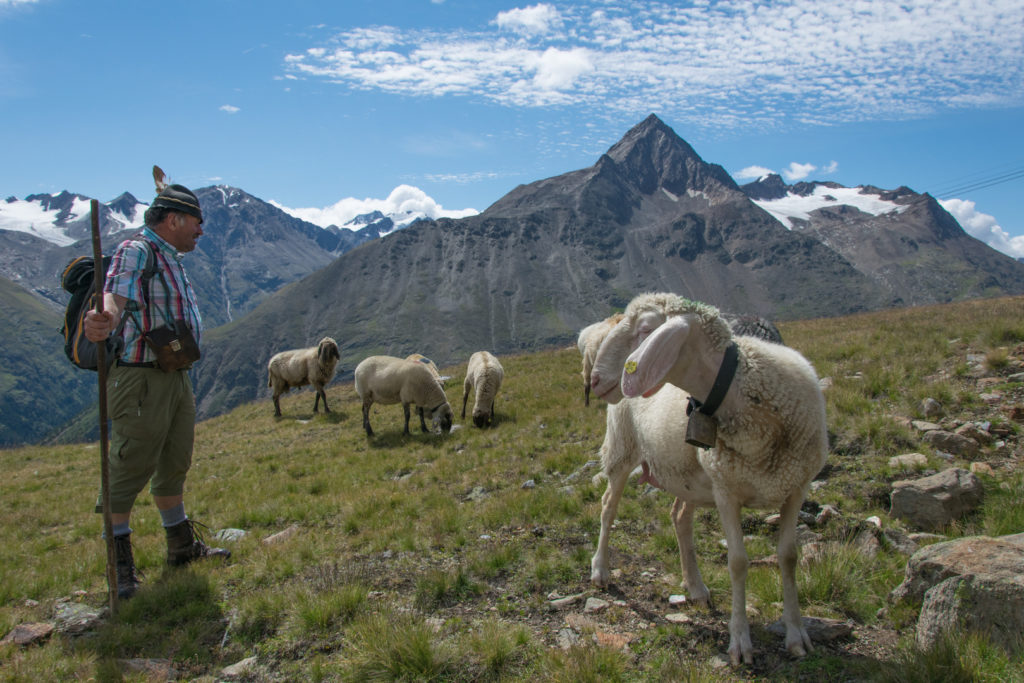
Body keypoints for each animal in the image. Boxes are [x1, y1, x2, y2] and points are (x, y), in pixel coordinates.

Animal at [589, 290, 827, 663]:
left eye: (646, 329)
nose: (596, 380)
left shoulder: (796, 487)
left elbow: (788, 557)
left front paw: (797, 635)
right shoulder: (727, 491)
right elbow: (738, 562)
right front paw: (740, 642)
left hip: (687, 473)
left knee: (679, 517)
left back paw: (696, 587)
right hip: (622, 451)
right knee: (607, 508)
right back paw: (600, 570)